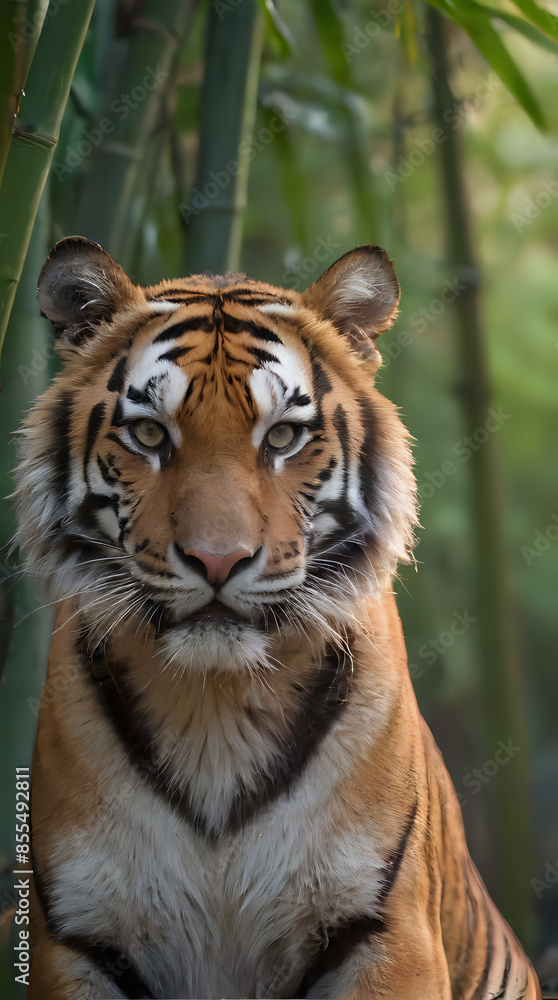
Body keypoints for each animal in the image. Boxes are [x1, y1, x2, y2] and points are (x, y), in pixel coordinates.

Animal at [13, 236, 541, 1000]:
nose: (217, 559)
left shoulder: (384, 930)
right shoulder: (80, 935)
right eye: (149, 434)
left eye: (284, 436)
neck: (214, 707)